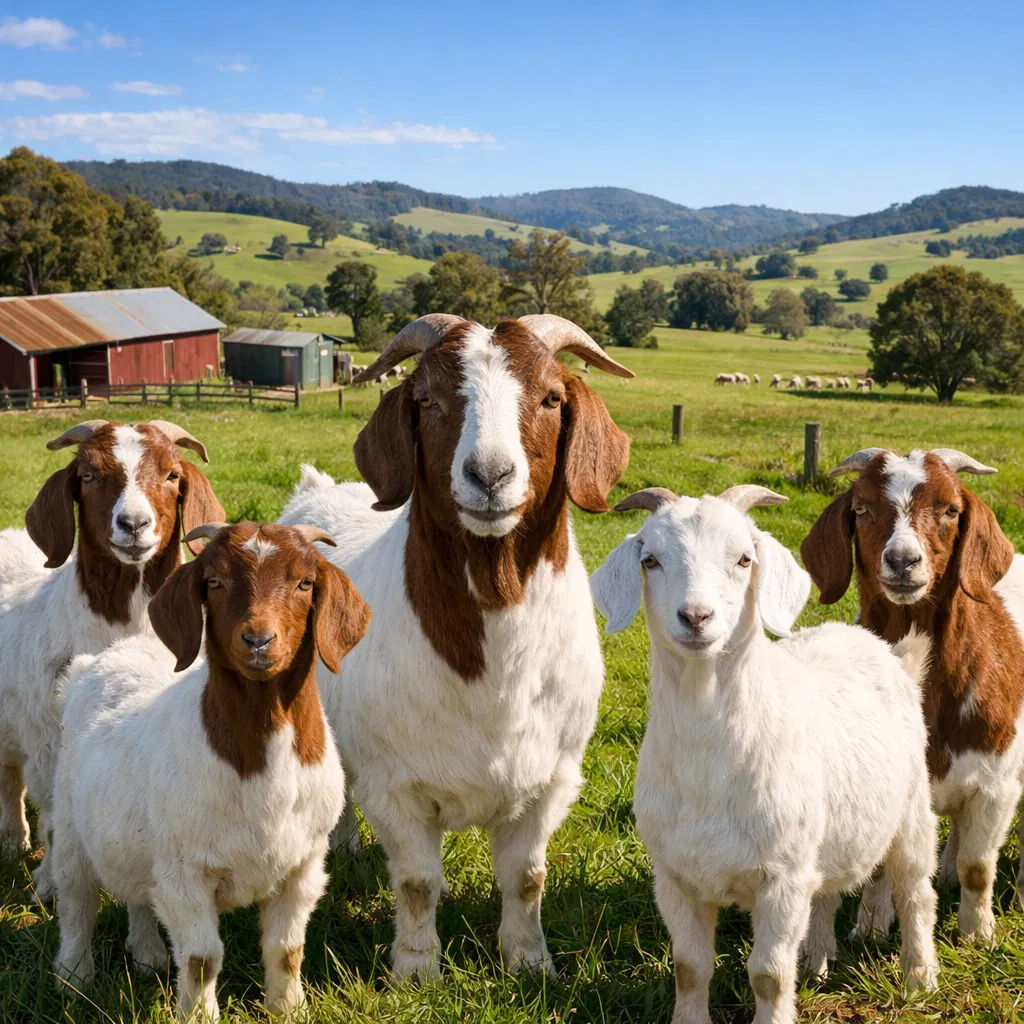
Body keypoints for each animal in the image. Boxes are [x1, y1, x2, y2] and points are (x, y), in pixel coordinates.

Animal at [0, 420, 223, 897]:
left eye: (172, 474)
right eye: (88, 475)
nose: (134, 524)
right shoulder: (48, 742)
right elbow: (54, 812)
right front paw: (48, 883)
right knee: (10, 777)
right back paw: (14, 841)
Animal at [51, 522, 369, 1019]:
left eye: (304, 583)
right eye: (214, 582)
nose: (258, 641)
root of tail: (93, 664)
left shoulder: (303, 865)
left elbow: (286, 949)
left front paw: (289, 1010)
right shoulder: (185, 872)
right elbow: (202, 959)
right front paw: (200, 1015)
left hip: (132, 839)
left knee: (136, 890)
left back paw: (147, 956)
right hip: (69, 825)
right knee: (76, 901)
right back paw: (74, 977)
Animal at [278, 313, 633, 981]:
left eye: (552, 397)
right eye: (427, 399)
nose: (489, 476)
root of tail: (315, 490)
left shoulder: (550, 782)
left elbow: (527, 878)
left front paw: (529, 962)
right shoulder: (397, 786)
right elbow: (418, 883)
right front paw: (417, 970)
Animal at [592, 484, 939, 1024]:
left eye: (744, 558)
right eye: (650, 560)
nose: (696, 617)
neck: (709, 762)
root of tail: (882, 648)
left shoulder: (781, 879)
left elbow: (769, 974)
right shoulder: (674, 877)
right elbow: (689, 967)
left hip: (912, 813)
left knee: (916, 892)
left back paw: (920, 980)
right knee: (827, 892)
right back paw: (817, 961)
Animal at [802, 448, 1024, 946]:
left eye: (951, 510)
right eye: (861, 509)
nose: (903, 560)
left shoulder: (997, 784)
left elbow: (979, 866)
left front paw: (977, 934)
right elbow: (883, 867)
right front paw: (871, 925)